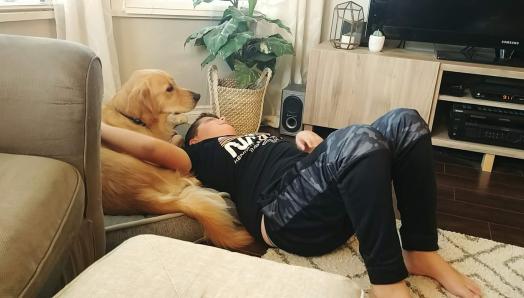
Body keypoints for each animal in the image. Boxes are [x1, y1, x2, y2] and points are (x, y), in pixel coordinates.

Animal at [102, 70, 254, 249]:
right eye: (169, 89)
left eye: (174, 83)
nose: (197, 95)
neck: (131, 117)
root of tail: (139, 197)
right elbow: (177, 136)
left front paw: (178, 119)